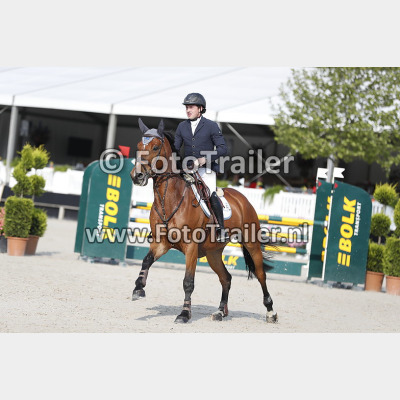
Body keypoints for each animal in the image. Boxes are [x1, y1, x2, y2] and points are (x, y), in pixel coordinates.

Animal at [130, 118, 278, 324]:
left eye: (156, 147)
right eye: (138, 146)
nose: (137, 176)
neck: (171, 198)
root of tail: (242, 198)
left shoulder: (191, 246)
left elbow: (188, 282)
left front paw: (184, 314)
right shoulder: (161, 243)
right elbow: (146, 261)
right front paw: (138, 288)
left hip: (251, 243)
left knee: (261, 274)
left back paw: (270, 312)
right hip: (213, 253)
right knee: (226, 278)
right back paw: (220, 312)